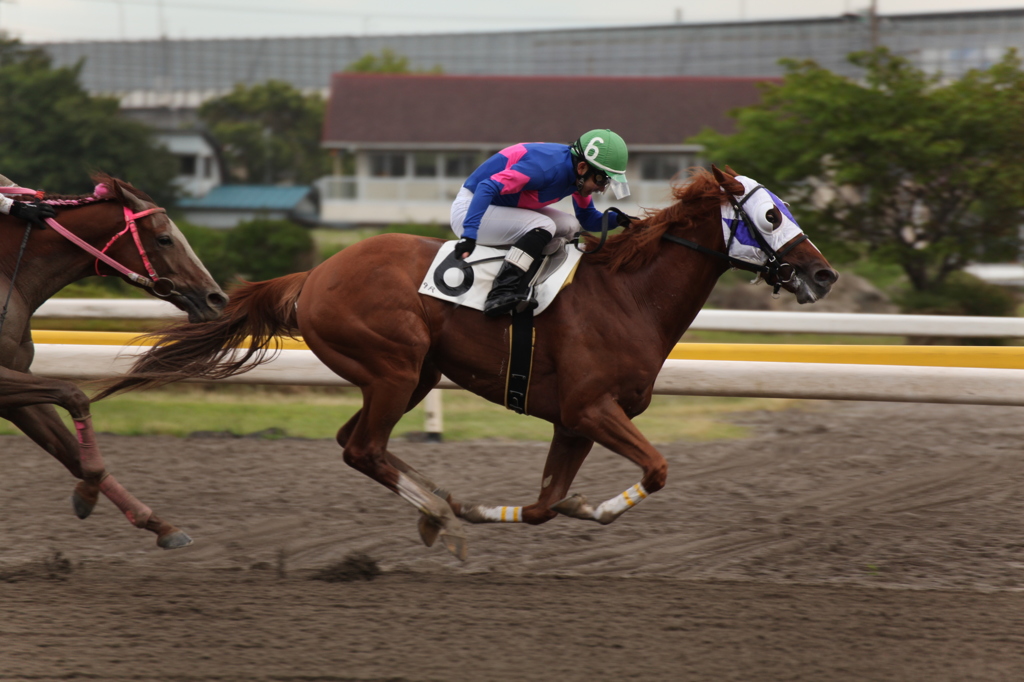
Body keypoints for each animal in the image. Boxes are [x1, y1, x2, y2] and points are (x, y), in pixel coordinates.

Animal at [0, 174, 226, 548]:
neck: (8, 275)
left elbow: (72, 453)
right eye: (164, 239)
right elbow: (74, 395)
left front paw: (160, 525)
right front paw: (87, 494)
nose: (216, 298)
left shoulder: (15, 387)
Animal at [96, 165, 835, 557]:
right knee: (361, 447)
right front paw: (504, 510)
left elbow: (545, 505)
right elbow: (655, 470)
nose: (822, 274)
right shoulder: (591, 408)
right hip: (395, 366)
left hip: (415, 375)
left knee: (356, 442)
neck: (627, 295)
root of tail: (314, 274)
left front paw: (521, 508)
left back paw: (439, 506)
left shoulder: (573, 420)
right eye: (772, 215)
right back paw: (438, 513)